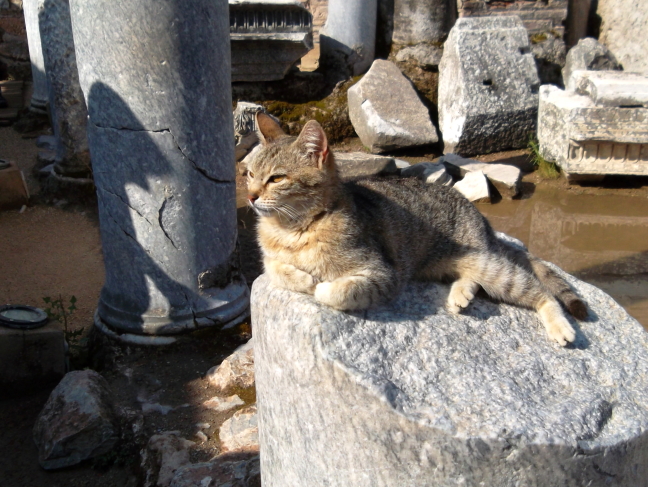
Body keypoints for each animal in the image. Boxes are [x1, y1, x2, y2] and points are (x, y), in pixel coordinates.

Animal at [247, 113, 588, 346]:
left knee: (541, 292)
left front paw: (319, 285)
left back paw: (561, 327)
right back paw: (460, 295)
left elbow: (336, 291)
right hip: (450, 265)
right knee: (473, 280)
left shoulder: (383, 274)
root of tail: (483, 222)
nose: (250, 196)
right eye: (249, 173)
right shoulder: (269, 260)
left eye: (277, 178)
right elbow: (277, 269)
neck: (293, 228)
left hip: (488, 265)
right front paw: (301, 276)